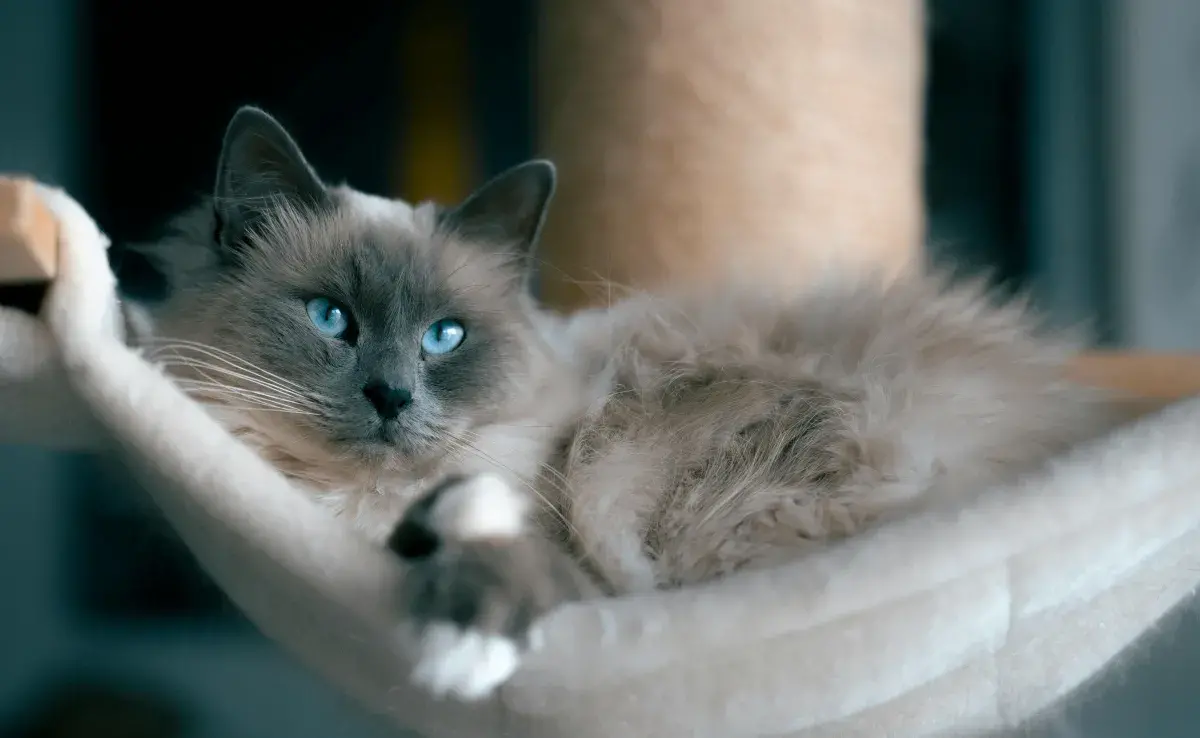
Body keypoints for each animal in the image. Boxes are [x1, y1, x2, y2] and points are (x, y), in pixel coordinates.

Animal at [126, 106, 1128, 700]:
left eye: (445, 337)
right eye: (332, 318)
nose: (392, 395)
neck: (360, 512)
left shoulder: (560, 552)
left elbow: (493, 555)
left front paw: (457, 653)